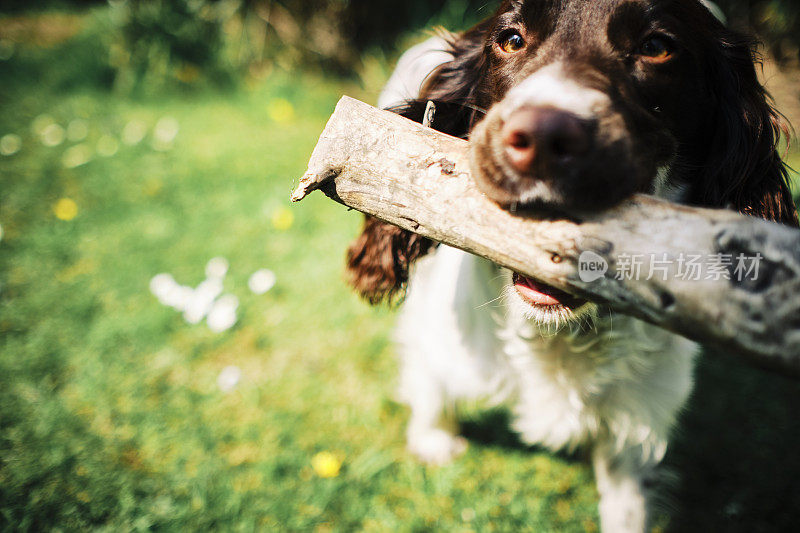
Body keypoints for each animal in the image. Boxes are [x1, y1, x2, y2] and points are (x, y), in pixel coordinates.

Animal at [342, 2, 792, 528]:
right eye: (511, 39)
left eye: (657, 46)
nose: (541, 137)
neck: (557, 336)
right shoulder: (439, 337)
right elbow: (429, 379)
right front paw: (434, 440)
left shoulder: (637, 419)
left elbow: (627, 506)